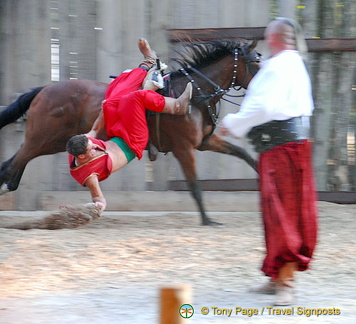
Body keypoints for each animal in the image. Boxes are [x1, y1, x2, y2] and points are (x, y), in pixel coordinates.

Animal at [0, 39, 262, 224]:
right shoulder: (184, 148)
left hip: (52, 141)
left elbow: (243, 154)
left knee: (16, 161)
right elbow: (195, 185)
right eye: (255, 63)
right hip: (43, 138)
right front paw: (207, 220)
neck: (194, 93)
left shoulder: (204, 142)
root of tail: (45, 89)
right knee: (12, 164)